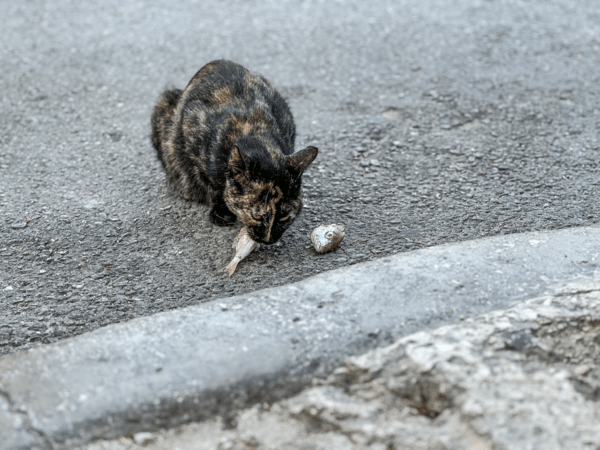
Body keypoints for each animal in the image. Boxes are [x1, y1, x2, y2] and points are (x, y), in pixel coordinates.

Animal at [150, 60, 318, 246]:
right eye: (256, 216)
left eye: (284, 217)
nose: (267, 240)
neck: (254, 132)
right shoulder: (191, 135)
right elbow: (213, 185)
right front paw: (221, 211)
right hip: (165, 104)